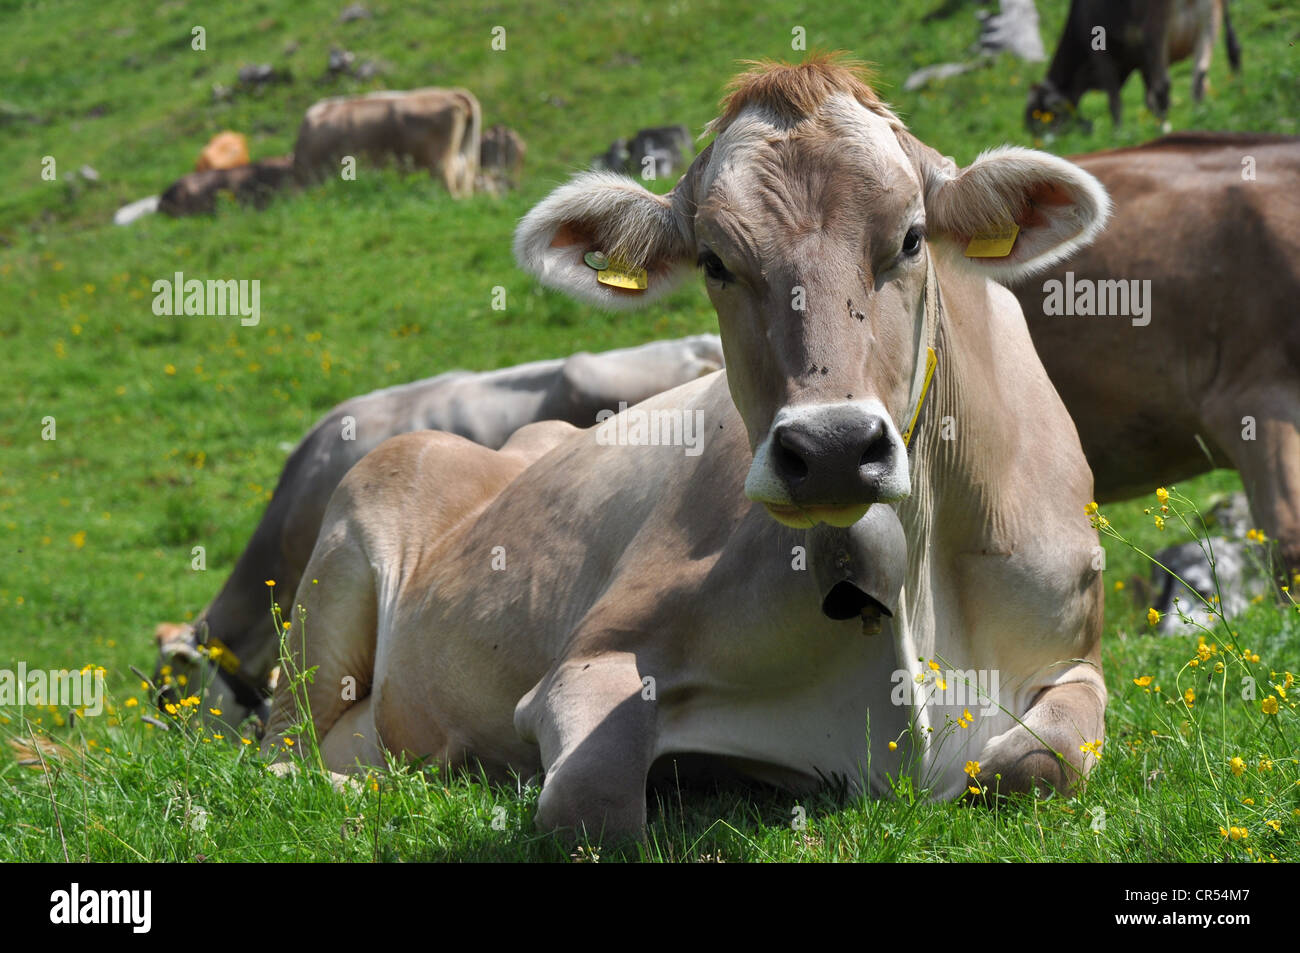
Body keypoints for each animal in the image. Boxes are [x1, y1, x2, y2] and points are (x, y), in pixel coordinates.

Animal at [1026, 0, 1241, 132]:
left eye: (1041, 118)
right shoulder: (1144, 62)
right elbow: (1148, 99)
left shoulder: (1101, 55)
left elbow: (1115, 102)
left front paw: (1119, 133)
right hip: (1209, 23)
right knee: (1199, 79)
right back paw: (1199, 120)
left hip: (1155, 30)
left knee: (1163, 86)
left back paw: (1164, 129)